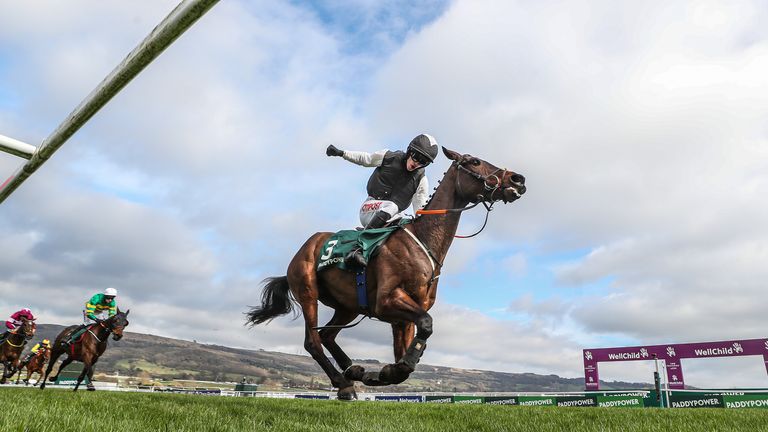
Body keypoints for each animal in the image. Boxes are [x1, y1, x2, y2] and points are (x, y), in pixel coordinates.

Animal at [248, 147, 528, 400]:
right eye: (475, 161)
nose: (518, 179)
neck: (423, 240)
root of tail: (304, 248)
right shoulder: (386, 302)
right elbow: (426, 326)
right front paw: (386, 372)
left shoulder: (403, 317)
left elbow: (407, 354)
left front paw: (381, 372)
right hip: (307, 291)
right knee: (313, 341)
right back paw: (344, 383)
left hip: (348, 306)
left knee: (327, 335)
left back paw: (353, 371)